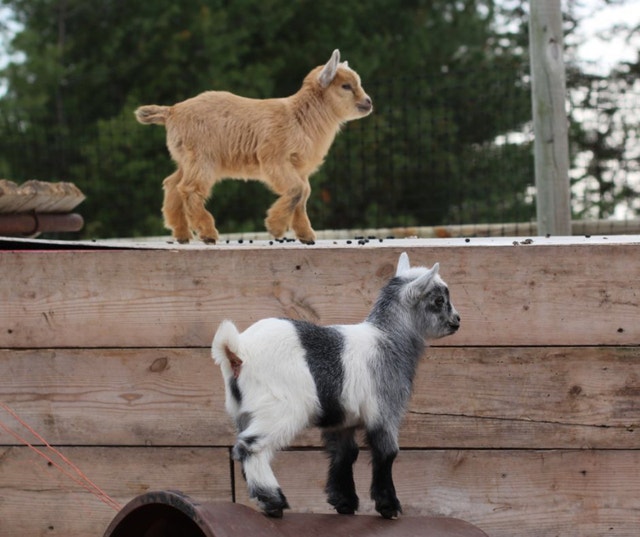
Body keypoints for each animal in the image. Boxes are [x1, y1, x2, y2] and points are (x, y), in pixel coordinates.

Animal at [135, 49, 372, 244]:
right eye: (346, 86)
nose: (368, 102)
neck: (299, 118)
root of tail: (172, 111)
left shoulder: (299, 169)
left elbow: (302, 194)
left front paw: (305, 235)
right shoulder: (273, 160)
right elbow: (296, 190)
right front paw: (275, 227)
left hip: (187, 159)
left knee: (172, 184)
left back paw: (182, 234)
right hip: (203, 158)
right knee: (189, 188)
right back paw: (208, 233)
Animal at [211, 252, 460, 518]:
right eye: (438, 300)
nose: (457, 320)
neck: (388, 338)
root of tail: (237, 351)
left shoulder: (343, 420)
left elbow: (344, 454)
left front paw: (344, 503)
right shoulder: (384, 410)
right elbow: (387, 452)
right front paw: (388, 506)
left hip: (243, 413)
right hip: (280, 409)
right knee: (250, 448)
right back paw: (273, 502)